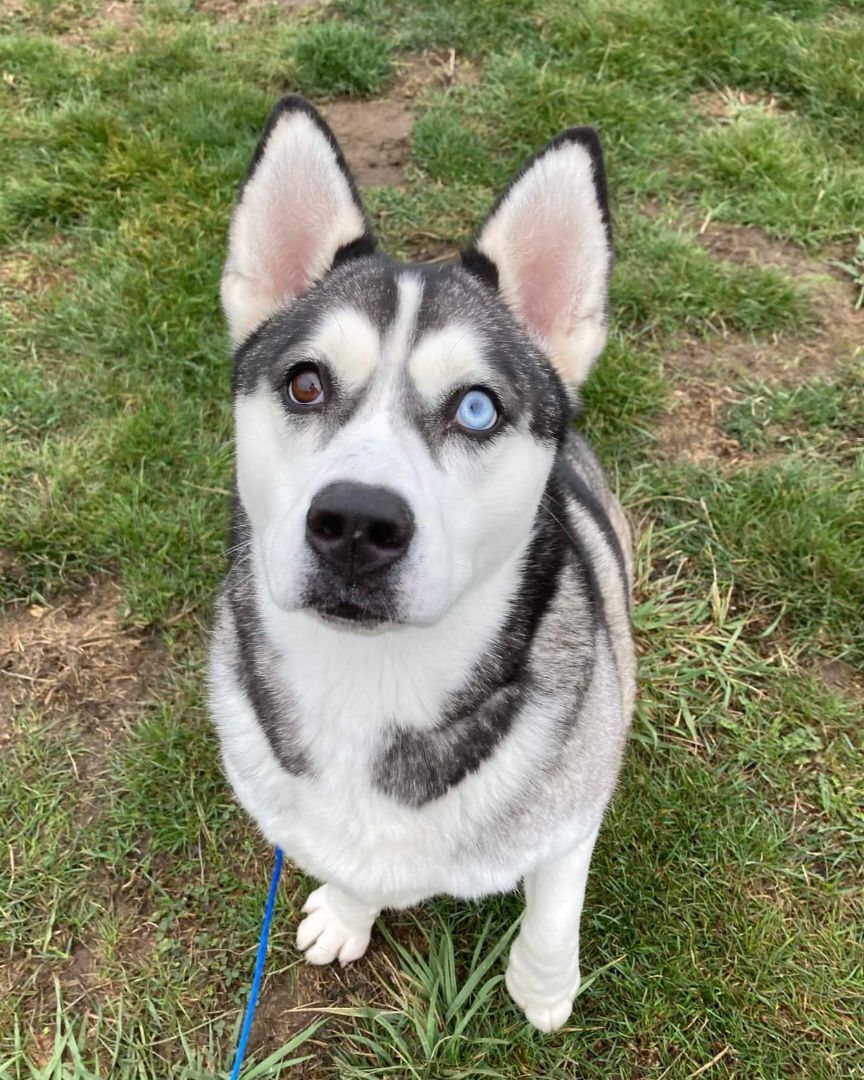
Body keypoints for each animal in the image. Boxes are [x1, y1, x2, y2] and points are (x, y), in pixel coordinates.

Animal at [209, 97, 635, 1032]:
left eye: (477, 409)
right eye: (304, 384)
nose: (356, 523)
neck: (373, 680)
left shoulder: (576, 806)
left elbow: (554, 907)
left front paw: (544, 989)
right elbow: (349, 859)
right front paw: (347, 910)